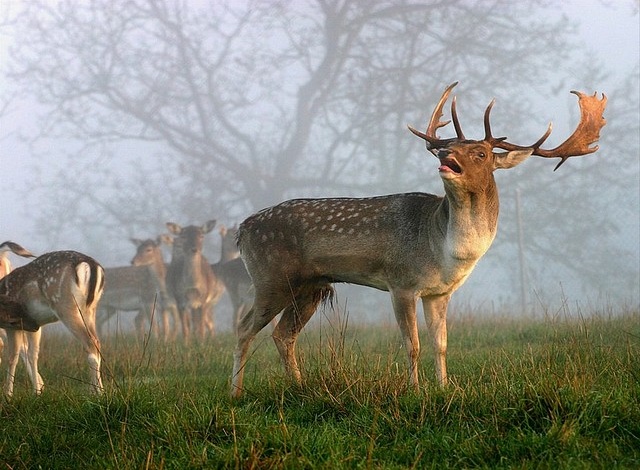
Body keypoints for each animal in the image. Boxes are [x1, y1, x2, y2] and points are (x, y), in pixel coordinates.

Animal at [0, 250, 105, 396]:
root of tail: (91, 265)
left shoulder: (14, 325)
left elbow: (12, 358)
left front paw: (8, 395)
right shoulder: (35, 325)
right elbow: (32, 354)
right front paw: (37, 392)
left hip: (65, 306)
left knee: (90, 343)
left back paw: (97, 394)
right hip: (90, 310)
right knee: (97, 342)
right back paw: (99, 390)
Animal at [230, 81, 604, 396]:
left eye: (481, 154)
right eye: (450, 146)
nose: (444, 156)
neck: (444, 251)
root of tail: (241, 230)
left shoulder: (439, 293)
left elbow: (441, 343)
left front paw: (445, 387)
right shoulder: (402, 283)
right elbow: (413, 344)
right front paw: (416, 390)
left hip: (311, 286)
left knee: (283, 334)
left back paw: (299, 386)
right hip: (271, 277)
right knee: (245, 327)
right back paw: (236, 392)